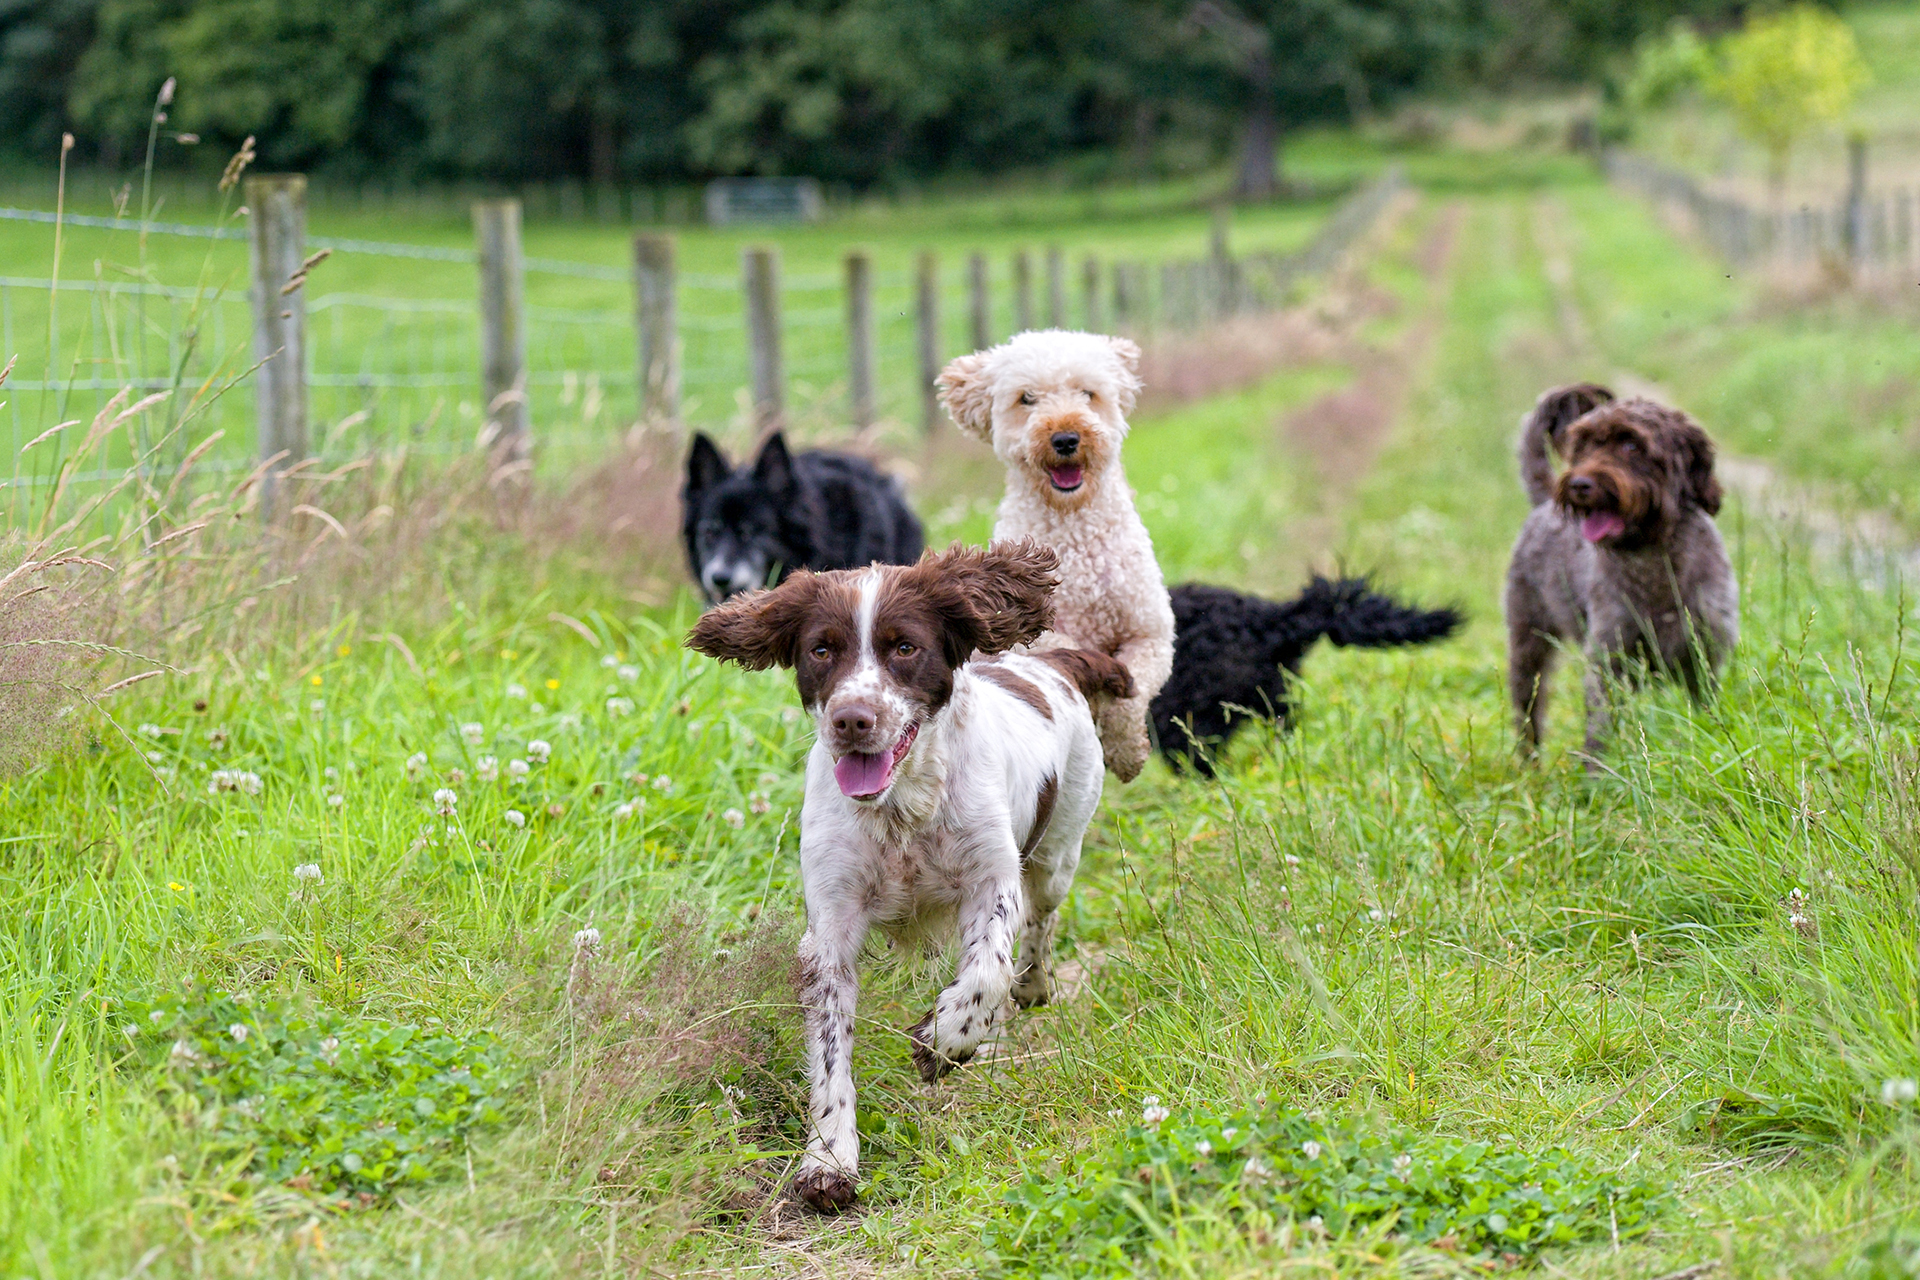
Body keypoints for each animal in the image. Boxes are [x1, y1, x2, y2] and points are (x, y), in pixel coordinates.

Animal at [933, 330, 1167, 782]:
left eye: (1088, 393)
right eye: (1027, 398)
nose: (1065, 438)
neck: (1075, 528)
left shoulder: (1150, 633)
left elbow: (1132, 692)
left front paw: (1127, 751)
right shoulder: (1022, 632)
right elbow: (1062, 647)